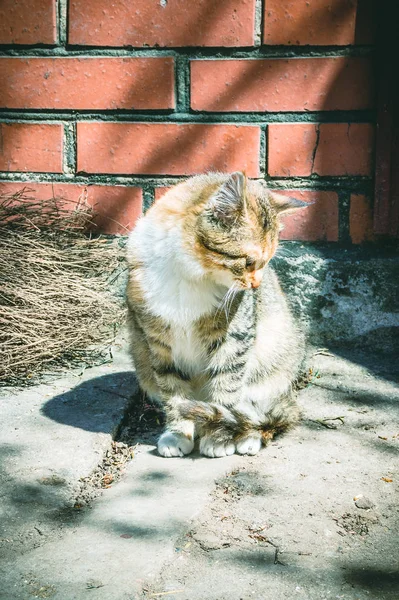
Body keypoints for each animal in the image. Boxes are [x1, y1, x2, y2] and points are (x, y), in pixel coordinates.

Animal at [126, 171, 308, 458]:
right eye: (248, 262)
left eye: (267, 262)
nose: (256, 285)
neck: (191, 276)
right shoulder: (157, 340)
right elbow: (173, 390)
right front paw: (178, 433)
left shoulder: (235, 336)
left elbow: (226, 383)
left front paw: (219, 437)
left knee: (256, 408)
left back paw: (247, 435)